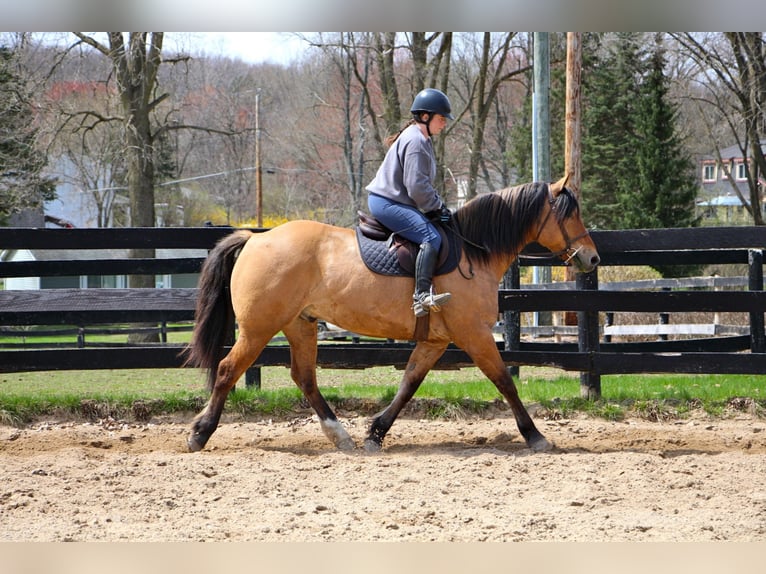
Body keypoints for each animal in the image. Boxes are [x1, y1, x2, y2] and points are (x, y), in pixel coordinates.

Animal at [184, 176, 600, 454]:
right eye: (570, 214)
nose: (593, 258)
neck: (472, 252)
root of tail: (256, 238)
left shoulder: (436, 340)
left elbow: (408, 384)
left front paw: (376, 433)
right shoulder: (474, 334)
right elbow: (505, 382)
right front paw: (535, 435)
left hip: (300, 324)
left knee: (304, 377)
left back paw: (341, 436)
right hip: (258, 328)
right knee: (227, 370)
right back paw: (201, 433)